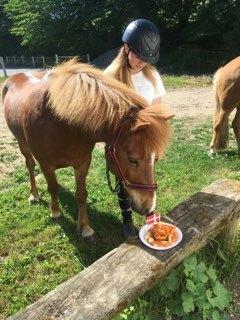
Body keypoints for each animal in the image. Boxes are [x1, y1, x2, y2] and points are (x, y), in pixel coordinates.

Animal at [1, 60, 171, 240]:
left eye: (156, 159)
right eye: (132, 159)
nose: (149, 207)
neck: (61, 122)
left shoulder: (82, 163)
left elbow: (81, 194)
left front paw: (85, 227)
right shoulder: (46, 164)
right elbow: (52, 188)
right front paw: (55, 211)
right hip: (23, 145)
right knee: (30, 166)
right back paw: (34, 195)